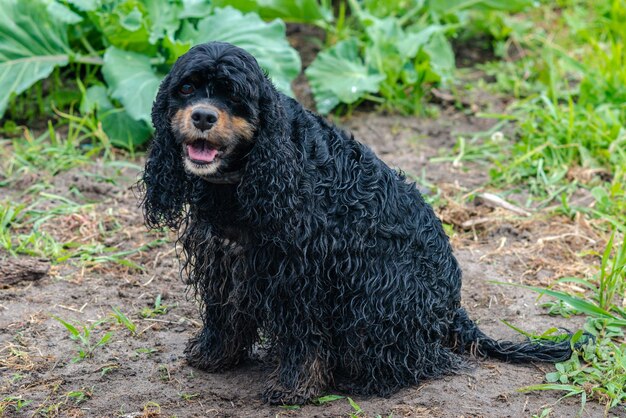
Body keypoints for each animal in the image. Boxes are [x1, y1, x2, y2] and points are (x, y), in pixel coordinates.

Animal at [141, 41, 576, 404]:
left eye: (232, 94)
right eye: (186, 88)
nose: (202, 115)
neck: (246, 176)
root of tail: (453, 310)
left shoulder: (301, 275)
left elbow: (303, 336)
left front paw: (295, 387)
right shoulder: (224, 256)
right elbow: (223, 314)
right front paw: (213, 354)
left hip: (377, 292)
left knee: (416, 360)